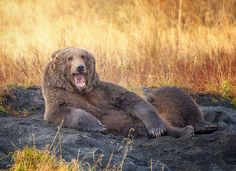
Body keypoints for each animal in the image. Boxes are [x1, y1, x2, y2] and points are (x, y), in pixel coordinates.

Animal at [42, 47, 194, 138]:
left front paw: (157, 129)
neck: (80, 90)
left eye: (83, 56)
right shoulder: (59, 95)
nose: (80, 67)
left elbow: (132, 99)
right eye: (70, 58)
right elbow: (62, 112)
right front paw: (97, 125)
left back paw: (187, 130)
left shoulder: (103, 92)